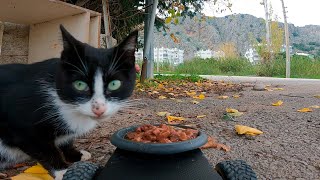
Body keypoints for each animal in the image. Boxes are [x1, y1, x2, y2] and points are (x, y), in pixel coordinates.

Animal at [0, 25, 138, 179]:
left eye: (114, 84)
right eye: (79, 85)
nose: (99, 108)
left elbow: (66, 140)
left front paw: (75, 154)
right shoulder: (20, 124)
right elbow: (43, 148)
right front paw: (62, 170)